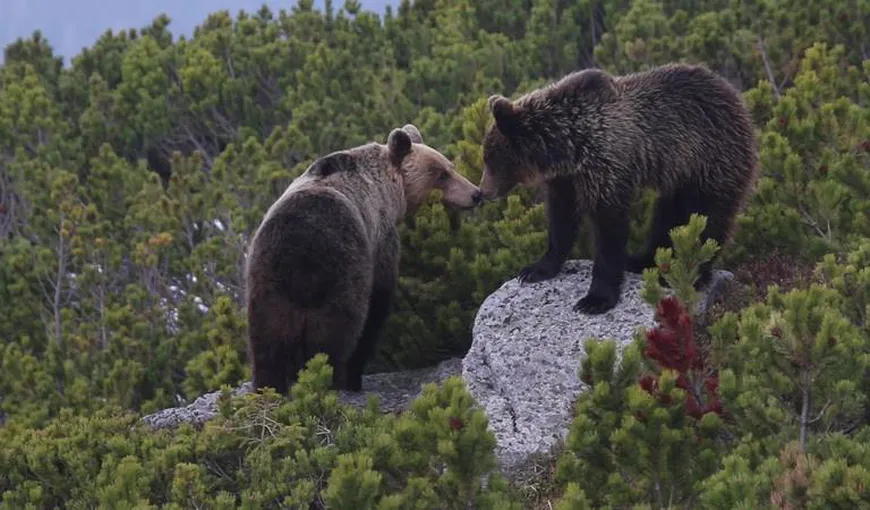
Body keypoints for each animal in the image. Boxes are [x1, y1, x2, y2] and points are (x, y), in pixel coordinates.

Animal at [245, 124, 484, 394]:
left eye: (450, 167)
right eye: (441, 174)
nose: (476, 193)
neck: (388, 190)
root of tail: (298, 250)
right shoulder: (380, 238)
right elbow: (378, 301)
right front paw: (355, 375)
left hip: (268, 279)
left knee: (266, 341)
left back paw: (268, 386)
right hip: (341, 267)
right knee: (336, 332)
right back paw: (335, 380)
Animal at [480, 61, 760, 312]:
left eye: (492, 161)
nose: (483, 192)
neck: (570, 144)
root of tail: (738, 101)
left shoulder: (606, 162)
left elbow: (608, 228)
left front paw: (595, 299)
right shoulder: (567, 179)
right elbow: (562, 219)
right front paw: (536, 269)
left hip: (710, 161)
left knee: (707, 217)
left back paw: (691, 272)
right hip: (678, 177)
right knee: (668, 218)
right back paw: (643, 260)